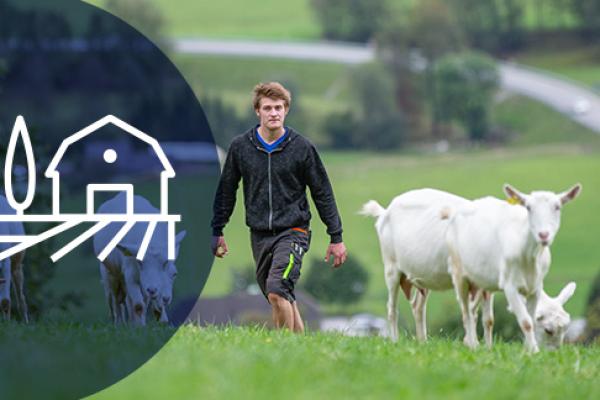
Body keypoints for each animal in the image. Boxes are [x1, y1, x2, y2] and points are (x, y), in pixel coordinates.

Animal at [448, 183, 580, 352]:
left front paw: (526, 349)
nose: (544, 235)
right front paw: (533, 351)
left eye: (558, 207)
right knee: (464, 311)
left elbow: (525, 319)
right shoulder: (510, 286)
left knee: (474, 311)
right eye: (548, 330)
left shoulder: (535, 287)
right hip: (459, 274)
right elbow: (526, 322)